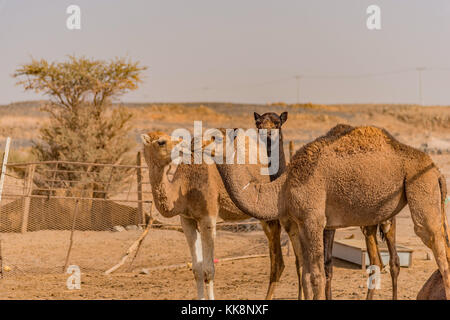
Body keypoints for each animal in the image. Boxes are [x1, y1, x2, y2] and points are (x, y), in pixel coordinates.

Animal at [141, 130, 284, 300]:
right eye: (161, 141)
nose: (184, 145)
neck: (185, 186)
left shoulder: (208, 217)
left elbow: (208, 270)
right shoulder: (187, 220)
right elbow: (197, 269)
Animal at [211, 124, 450, 298]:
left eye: (214, 137)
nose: (198, 145)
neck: (283, 187)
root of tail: (437, 171)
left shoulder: (314, 219)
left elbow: (317, 275)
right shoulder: (302, 223)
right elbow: (307, 274)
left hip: (421, 186)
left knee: (439, 254)